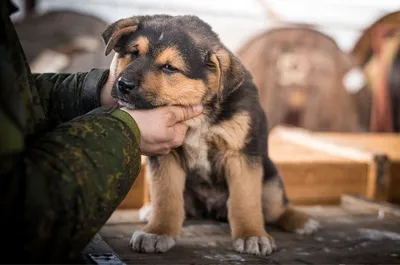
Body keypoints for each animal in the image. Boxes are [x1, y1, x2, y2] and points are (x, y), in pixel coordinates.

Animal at [101, 14, 320, 254]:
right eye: (133, 52)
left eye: (169, 68)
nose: (123, 85)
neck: (200, 117)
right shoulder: (166, 156)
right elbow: (166, 197)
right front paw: (157, 232)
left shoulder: (241, 155)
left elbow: (245, 199)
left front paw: (252, 234)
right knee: (181, 208)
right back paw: (151, 211)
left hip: (271, 183)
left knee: (276, 209)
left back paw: (302, 221)